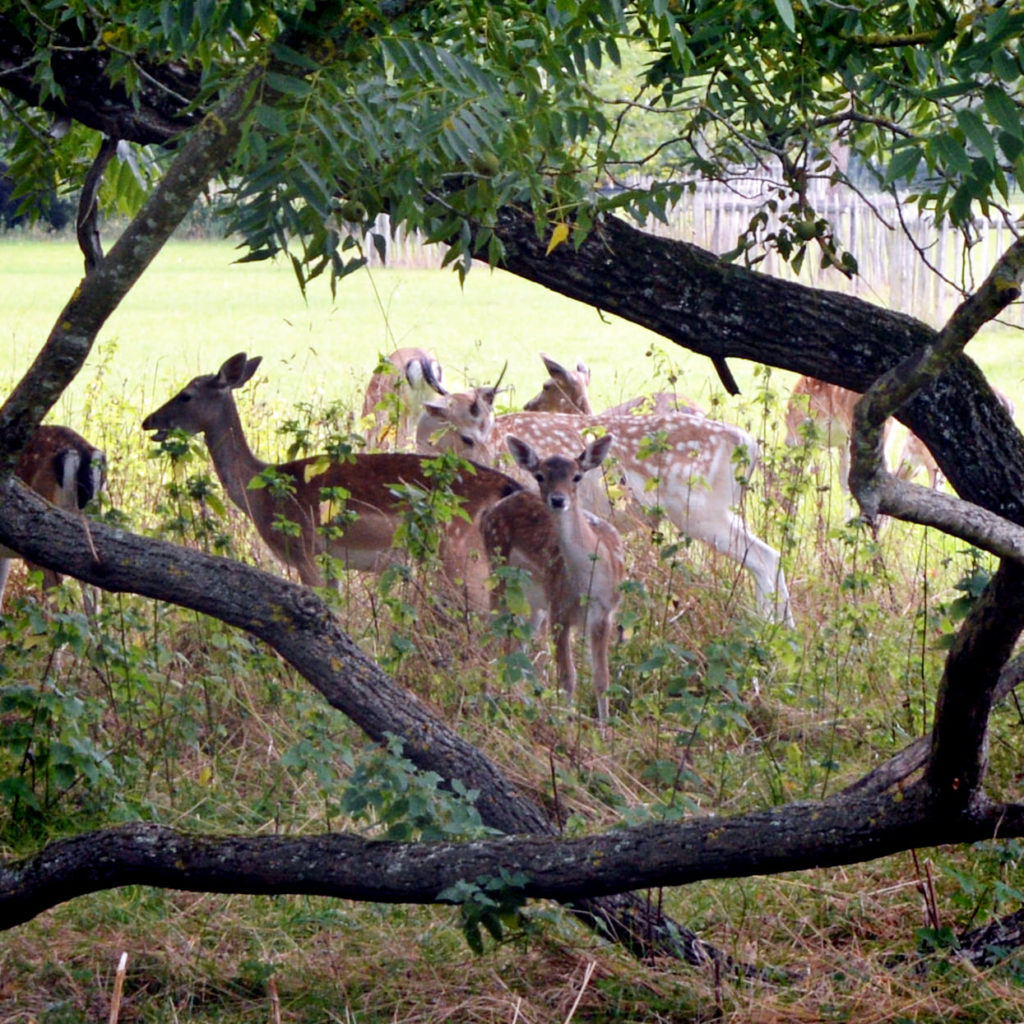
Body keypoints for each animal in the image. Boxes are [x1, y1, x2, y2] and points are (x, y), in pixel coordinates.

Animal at [144, 352, 520, 606]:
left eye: (186, 395)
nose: (149, 420)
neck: (262, 493)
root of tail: (506, 487)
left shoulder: (304, 549)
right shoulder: (333, 562)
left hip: (459, 548)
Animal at [415, 382, 790, 626]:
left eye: (483, 430)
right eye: (465, 435)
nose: (490, 464)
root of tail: (745, 443)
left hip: (697, 508)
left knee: (762, 558)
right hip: (717, 509)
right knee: (772, 554)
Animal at [481, 436, 622, 724]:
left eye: (577, 476)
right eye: (540, 475)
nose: (557, 500)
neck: (586, 585)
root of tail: (491, 510)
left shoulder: (605, 614)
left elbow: (602, 679)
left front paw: (605, 728)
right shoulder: (559, 610)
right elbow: (568, 677)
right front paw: (566, 724)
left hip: (534, 602)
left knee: (516, 650)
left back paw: (514, 699)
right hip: (498, 567)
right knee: (493, 632)